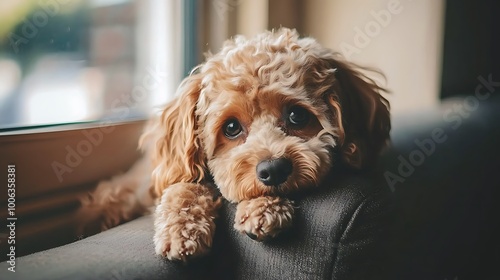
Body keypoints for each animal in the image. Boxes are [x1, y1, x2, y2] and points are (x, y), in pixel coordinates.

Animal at [78, 28, 390, 262]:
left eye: (297, 116)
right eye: (231, 128)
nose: (273, 169)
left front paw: (264, 209)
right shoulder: (176, 172)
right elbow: (184, 186)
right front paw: (180, 233)